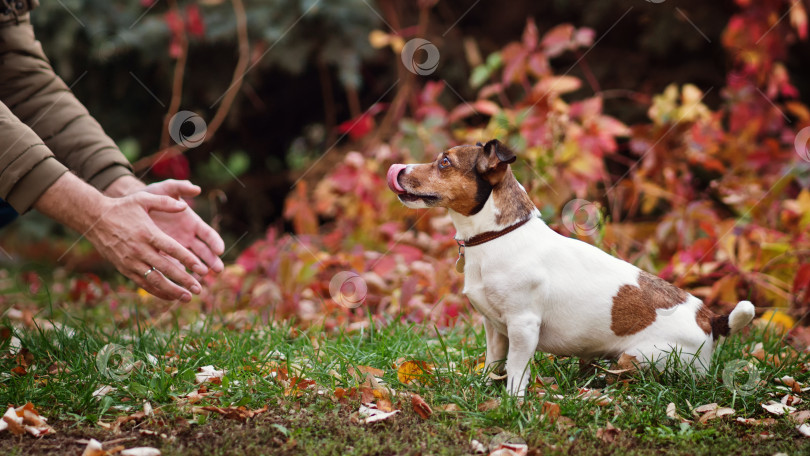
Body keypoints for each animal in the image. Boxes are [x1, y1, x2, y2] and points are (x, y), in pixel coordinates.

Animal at [388, 139, 756, 396]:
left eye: (444, 162)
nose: (398, 169)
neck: (498, 237)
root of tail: (710, 319)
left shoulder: (523, 326)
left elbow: (516, 371)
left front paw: (512, 401)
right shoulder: (494, 328)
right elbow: (494, 363)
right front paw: (483, 388)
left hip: (640, 358)